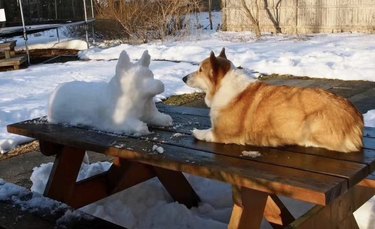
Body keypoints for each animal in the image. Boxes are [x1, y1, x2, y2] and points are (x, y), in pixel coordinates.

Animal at [182, 48, 364, 152]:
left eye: (200, 70)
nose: (183, 78)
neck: (222, 85)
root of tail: (357, 119)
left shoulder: (221, 133)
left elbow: (205, 133)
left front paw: (196, 132)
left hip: (313, 122)